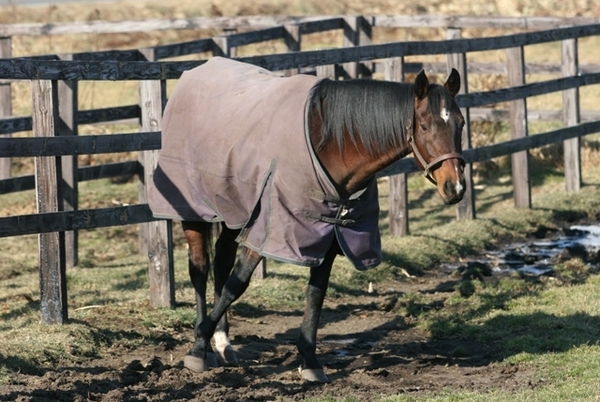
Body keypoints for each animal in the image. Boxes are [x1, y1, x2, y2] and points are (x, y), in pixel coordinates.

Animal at [148, 57, 466, 384]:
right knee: (200, 269)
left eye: (461, 123)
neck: (330, 146)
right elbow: (237, 284)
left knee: (221, 265)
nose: (454, 187)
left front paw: (310, 360)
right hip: (194, 213)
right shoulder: (267, 231)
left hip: (232, 214)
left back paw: (224, 344)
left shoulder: (328, 236)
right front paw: (198, 346)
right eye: (425, 126)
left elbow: (316, 293)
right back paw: (206, 345)